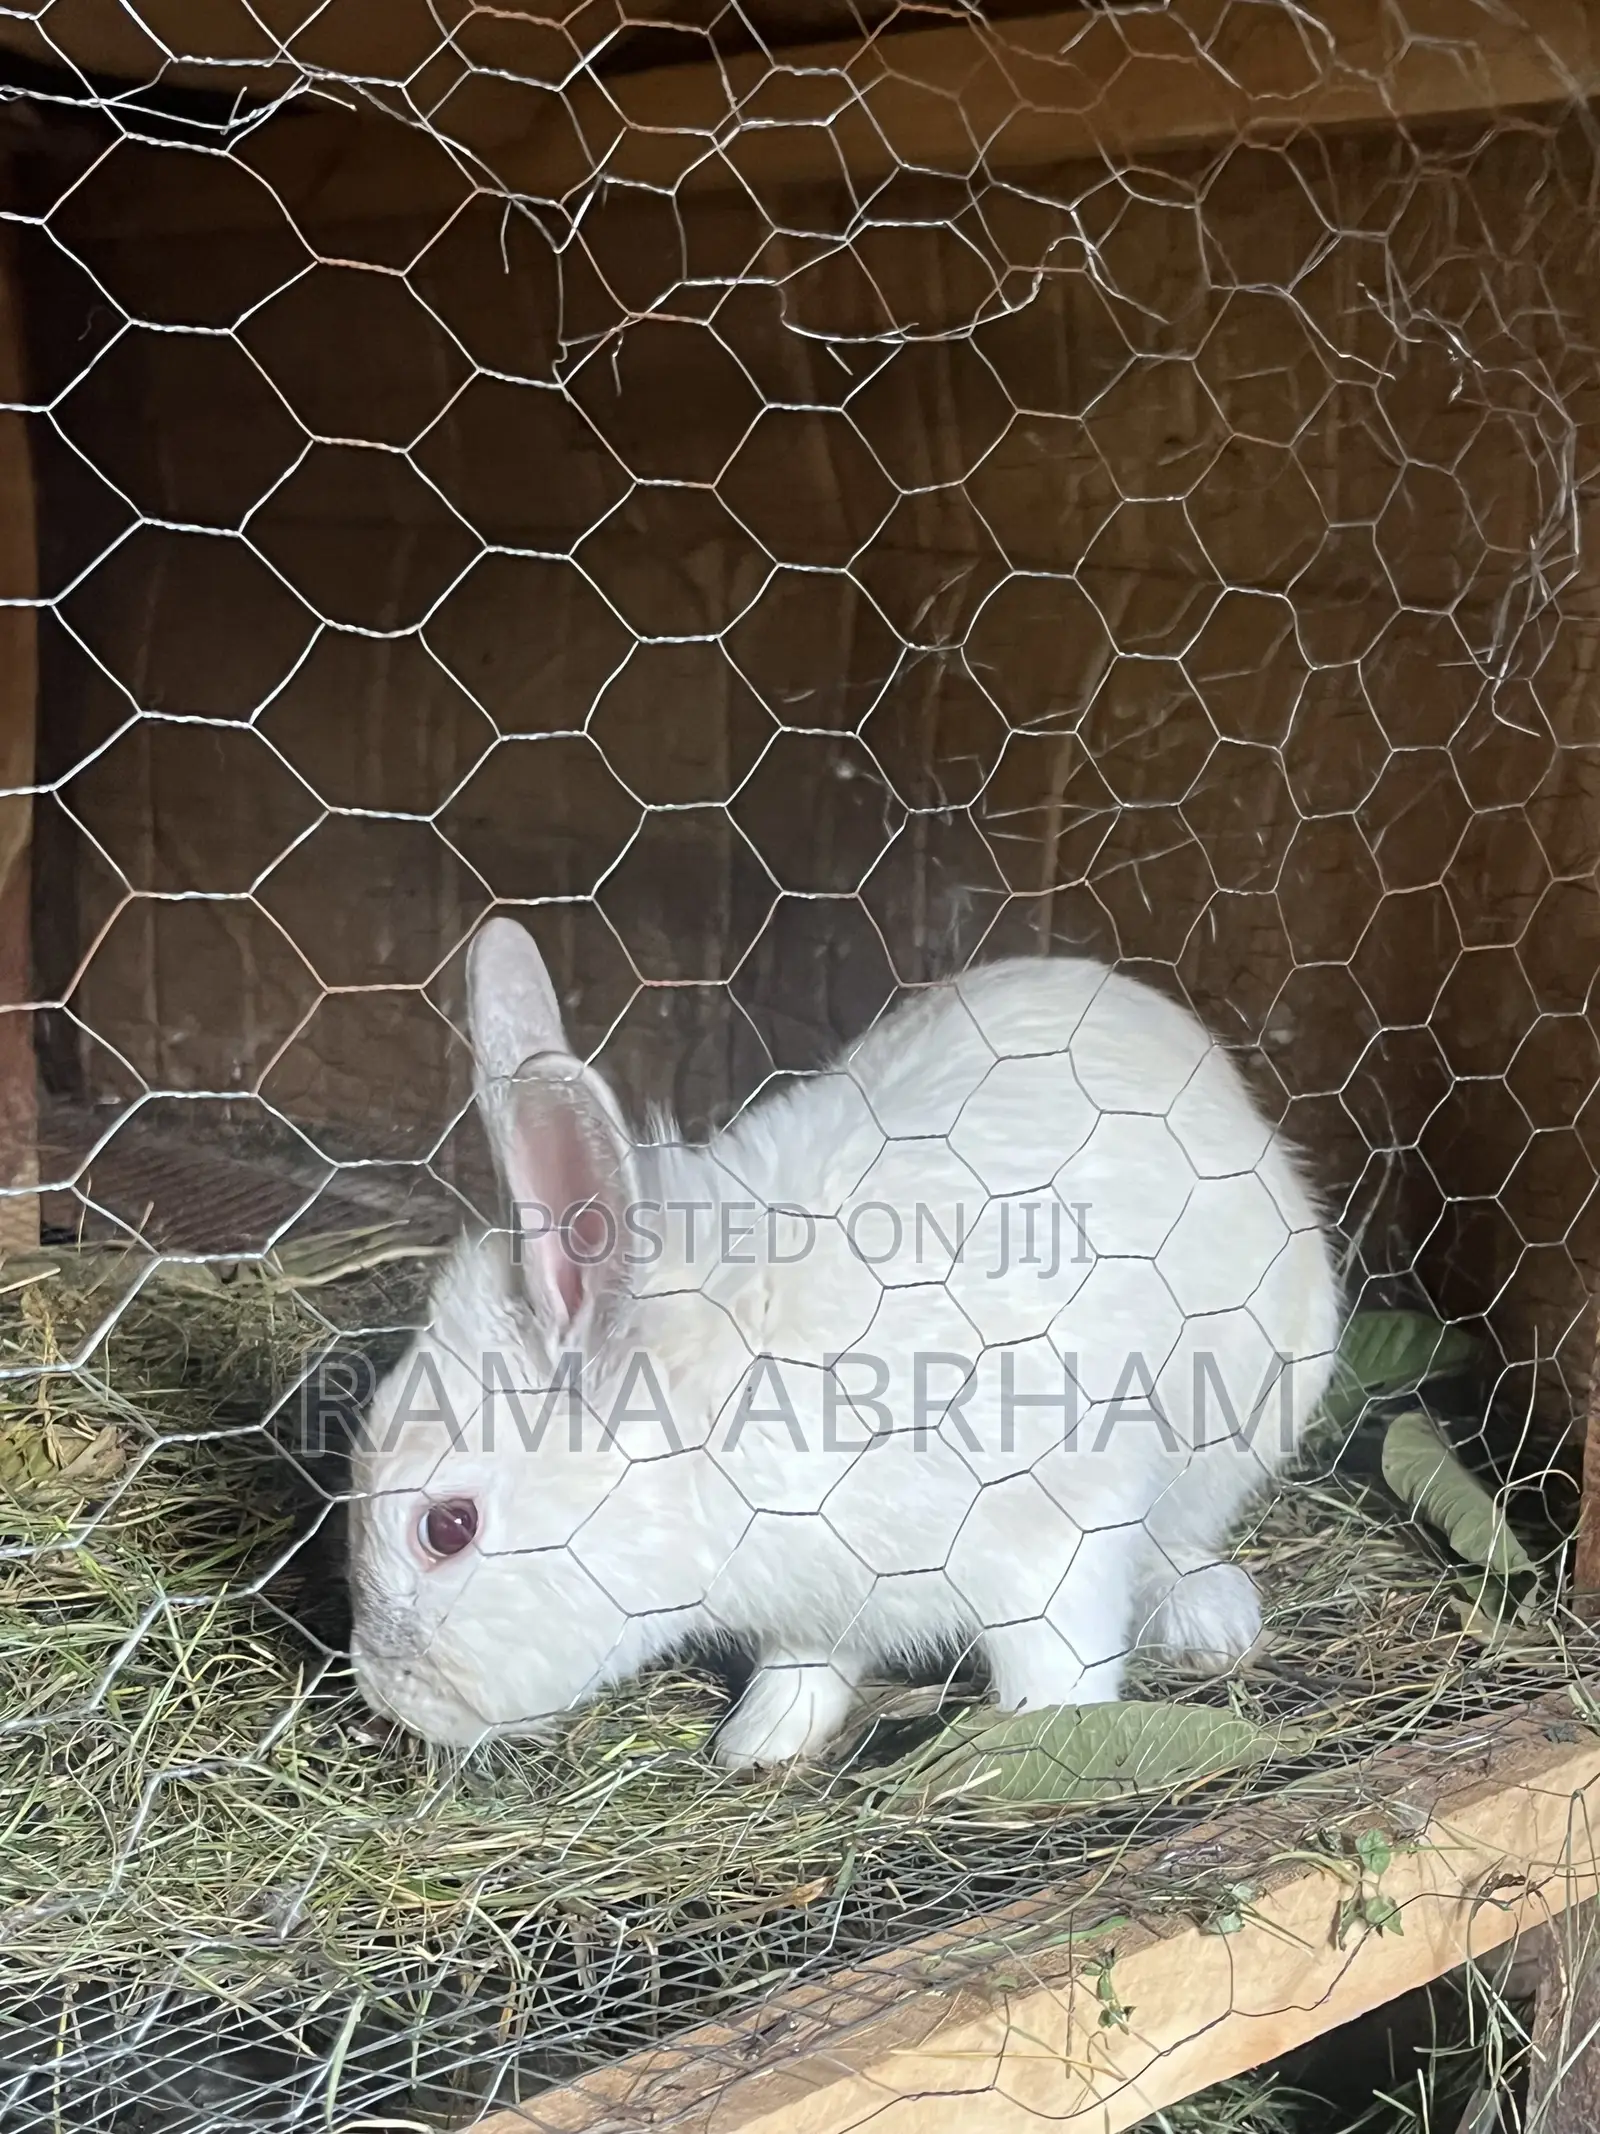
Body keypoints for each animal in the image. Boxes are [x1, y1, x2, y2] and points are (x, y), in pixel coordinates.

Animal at [348, 916, 1341, 1769]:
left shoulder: (1059, 1530)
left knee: (1182, 1538)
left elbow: (1059, 1662)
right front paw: (760, 1740)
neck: (728, 1404)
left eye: (448, 1527)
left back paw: (1211, 1619)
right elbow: (806, 1666)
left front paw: (1032, 1747)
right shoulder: (819, 1605)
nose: (387, 1697)